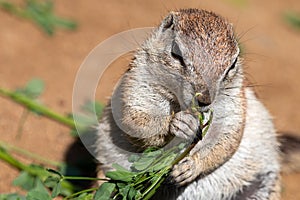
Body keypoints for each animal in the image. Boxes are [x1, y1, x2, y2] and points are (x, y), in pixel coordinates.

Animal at [95, 9, 282, 200]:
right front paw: (179, 123)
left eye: (233, 63)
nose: (205, 99)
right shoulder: (138, 84)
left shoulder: (234, 103)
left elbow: (227, 139)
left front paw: (191, 166)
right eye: (176, 53)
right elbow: (136, 121)